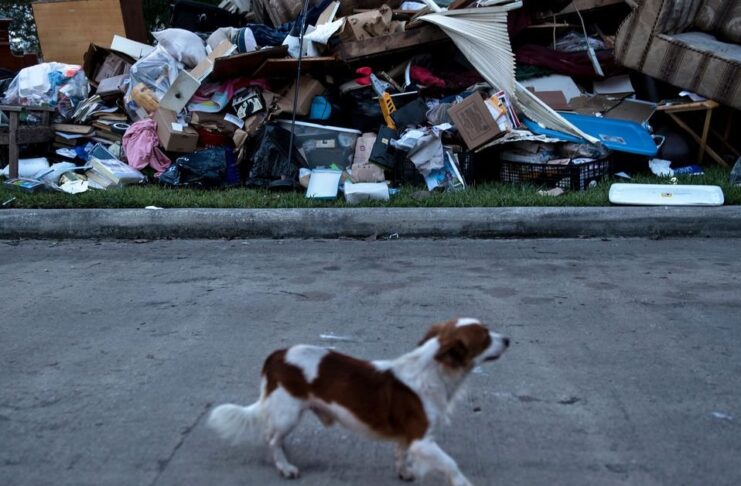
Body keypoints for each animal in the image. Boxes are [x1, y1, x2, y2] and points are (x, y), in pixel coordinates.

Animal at [207, 318, 509, 486]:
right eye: (485, 337)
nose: (507, 339)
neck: (434, 371)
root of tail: (277, 355)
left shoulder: (407, 438)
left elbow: (400, 454)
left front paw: (404, 473)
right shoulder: (422, 441)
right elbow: (450, 464)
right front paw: (463, 483)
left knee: (273, 437)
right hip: (288, 413)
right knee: (272, 439)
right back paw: (285, 467)